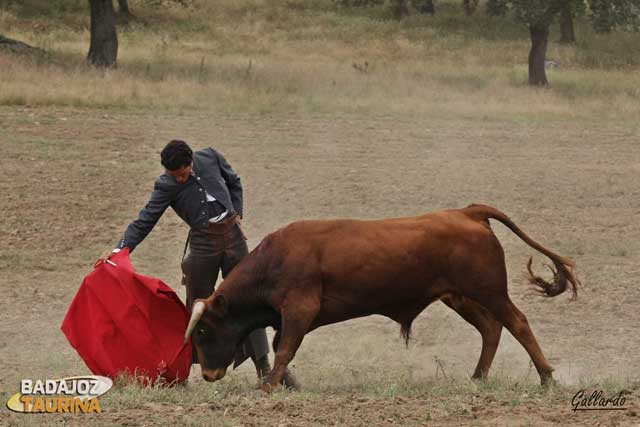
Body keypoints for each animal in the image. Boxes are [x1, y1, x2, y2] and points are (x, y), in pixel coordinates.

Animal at [184, 204, 580, 392]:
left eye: (202, 331)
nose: (207, 374)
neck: (274, 259)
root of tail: (467, 212)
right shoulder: (289, 317)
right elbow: (283, 347)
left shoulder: (299, 310)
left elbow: (284, 349)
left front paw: (267, 387)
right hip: (459, 297)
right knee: (491, 329)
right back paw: (478, 377)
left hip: (489, 292)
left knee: (517, 323)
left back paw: (546, 377)